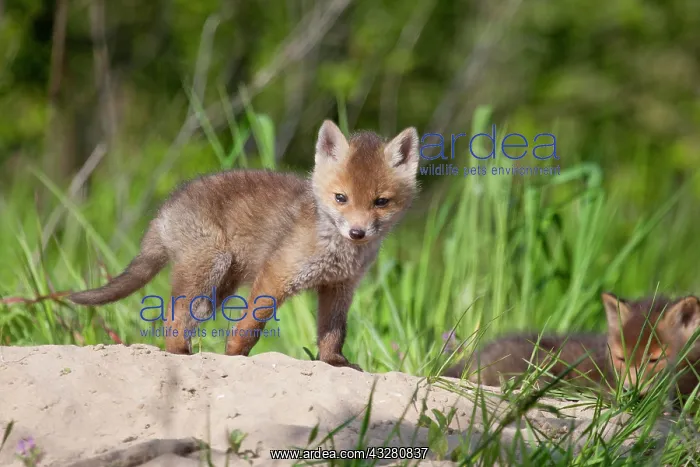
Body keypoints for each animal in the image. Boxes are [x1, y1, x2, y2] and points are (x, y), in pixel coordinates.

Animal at [69, 120, 420, 371]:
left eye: (380, 202)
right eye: (341, 198)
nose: (358, 232)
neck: (336, 250)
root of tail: (165, 209)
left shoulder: (339, 288)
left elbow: (333, 332)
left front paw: (334, 362)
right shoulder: (276, 276)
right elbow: (250, 326)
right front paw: (234, 356)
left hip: (217, 290)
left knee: (180, 317)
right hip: (211, 266)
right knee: (172, 319)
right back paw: (182, 356)